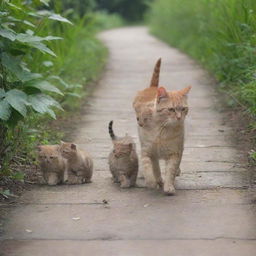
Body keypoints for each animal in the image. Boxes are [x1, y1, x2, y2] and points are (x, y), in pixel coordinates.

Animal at [133, 58, 191, 196]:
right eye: (171, 109)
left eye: (183, 109)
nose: (179, 117)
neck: (162, 130)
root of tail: (153, 87)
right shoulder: (148, 152)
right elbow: (150, 168)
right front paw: (152, 182)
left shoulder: (175, 153)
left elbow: (170, 171)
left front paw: (168, 186)